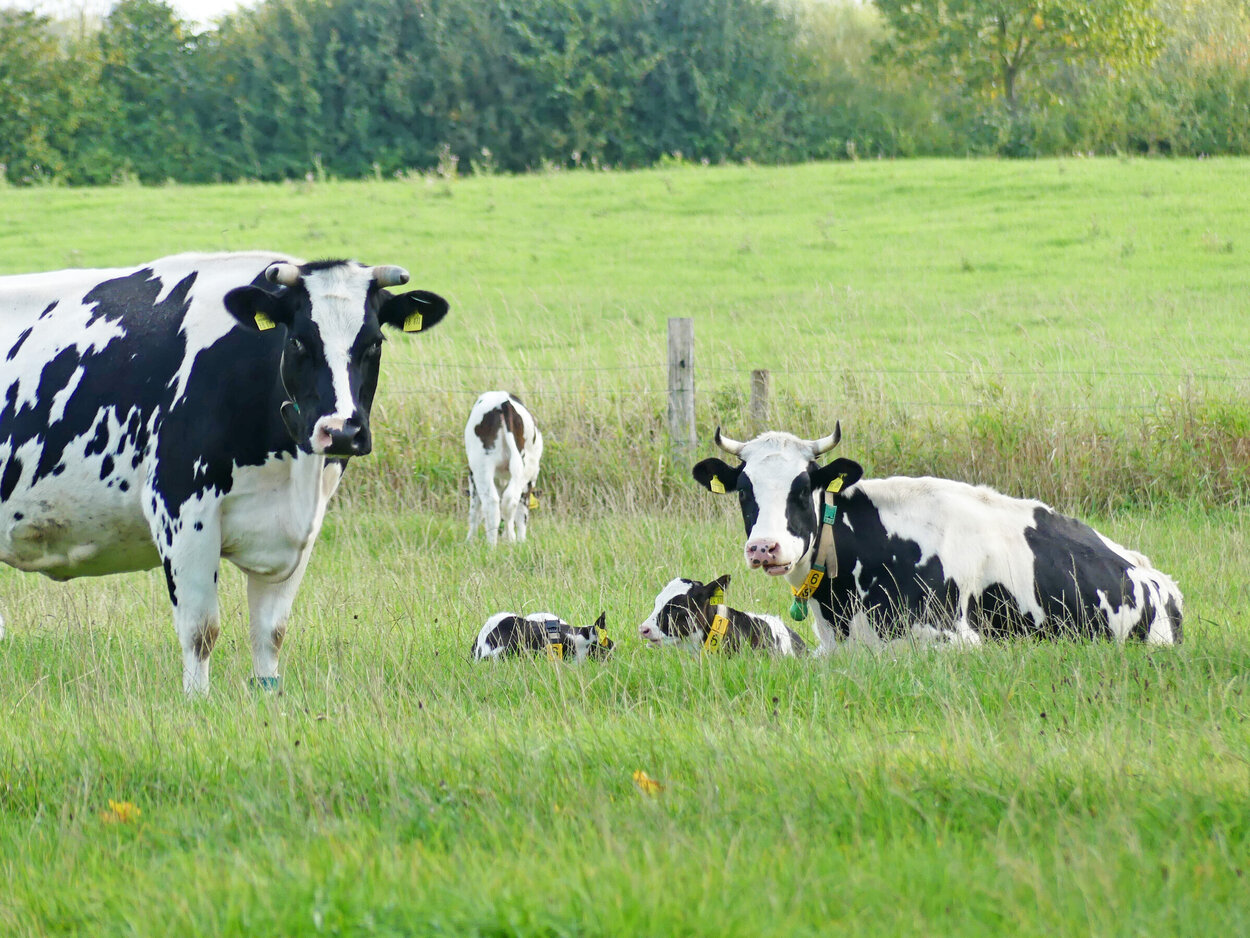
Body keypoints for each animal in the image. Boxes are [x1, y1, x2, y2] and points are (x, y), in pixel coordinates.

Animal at [0, 251, 448, 692]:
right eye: (298, 340)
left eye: (374, 343)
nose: (340, 431)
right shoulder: (180, 506)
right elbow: (201, 631)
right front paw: (196, 701)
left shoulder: (302, 528)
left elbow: (271, 632)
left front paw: (269, 694)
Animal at [464, 390, 543, 545]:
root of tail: (502, 402)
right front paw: (520, 541)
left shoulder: (472, 476)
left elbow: (475, 511)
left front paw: (469, 541)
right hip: (521, 469)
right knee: (510, 501)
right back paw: (510, 540)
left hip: (482, 465)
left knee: (493, 503)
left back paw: (493, 545)